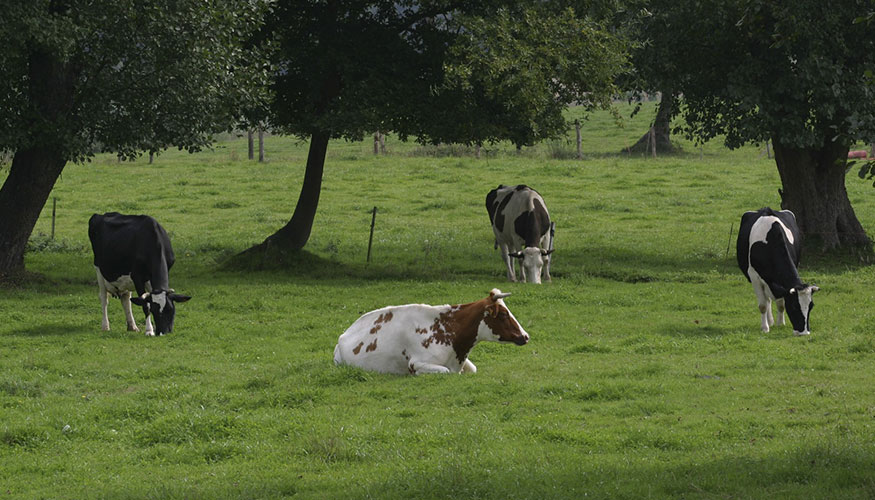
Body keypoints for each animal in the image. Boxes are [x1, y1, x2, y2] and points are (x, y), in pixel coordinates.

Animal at [334, 290, 528, 376]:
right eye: (503, 314)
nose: (525, 336)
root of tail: (344, 334)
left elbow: (473, 369)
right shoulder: (417, 363)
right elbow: (445, 371)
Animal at [740, 207, 820, 336]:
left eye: (811, 306)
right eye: (793, 306)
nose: (804, 333)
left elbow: (781, 304)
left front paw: (780, 323)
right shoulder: (754, 277)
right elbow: (762, 305)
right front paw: (765, 328)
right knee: (766, 300)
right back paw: (769, 322)